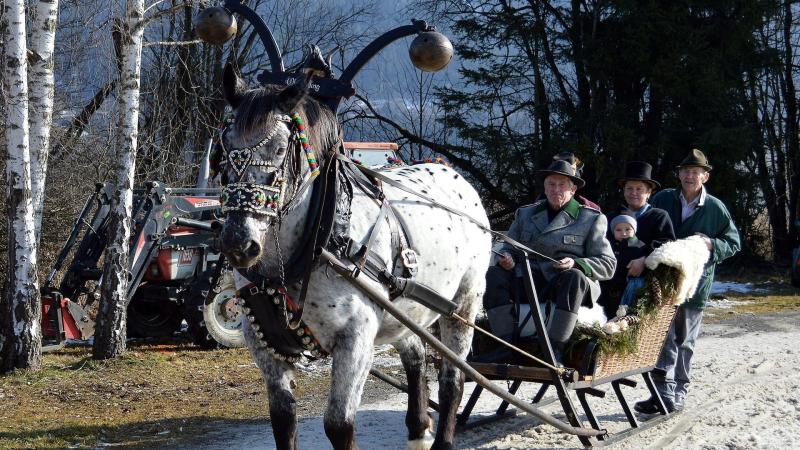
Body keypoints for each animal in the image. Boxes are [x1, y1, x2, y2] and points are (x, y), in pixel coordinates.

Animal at [214, 63, 491, 450]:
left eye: (281, 148)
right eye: (225, 146)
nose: (239, 243)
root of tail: (453, 175)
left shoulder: (355, 340)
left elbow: (338, 425)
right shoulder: (264, 345)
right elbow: (283, 422)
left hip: (464, 304)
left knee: (453, 380)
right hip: (404, 311)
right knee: (416, 358)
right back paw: (418, 428)